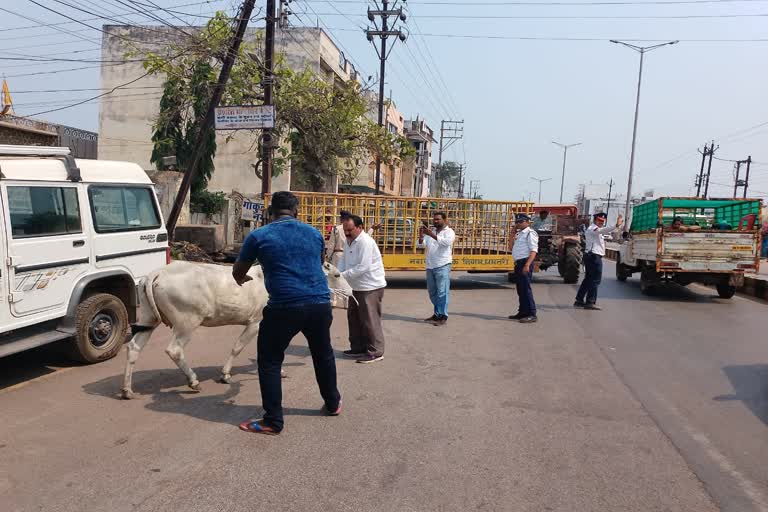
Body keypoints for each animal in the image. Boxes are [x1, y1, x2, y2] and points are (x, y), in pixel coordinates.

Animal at [119, 260, 352, 400]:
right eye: (337, 274)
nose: (350, 291)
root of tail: (157, 273)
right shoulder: (256, 322)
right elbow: (237, 348)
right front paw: (225, 375)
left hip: (148, 319)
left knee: (133, 348)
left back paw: (127, 390)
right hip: (187, 323)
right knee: (174, 350)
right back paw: (193, 380)